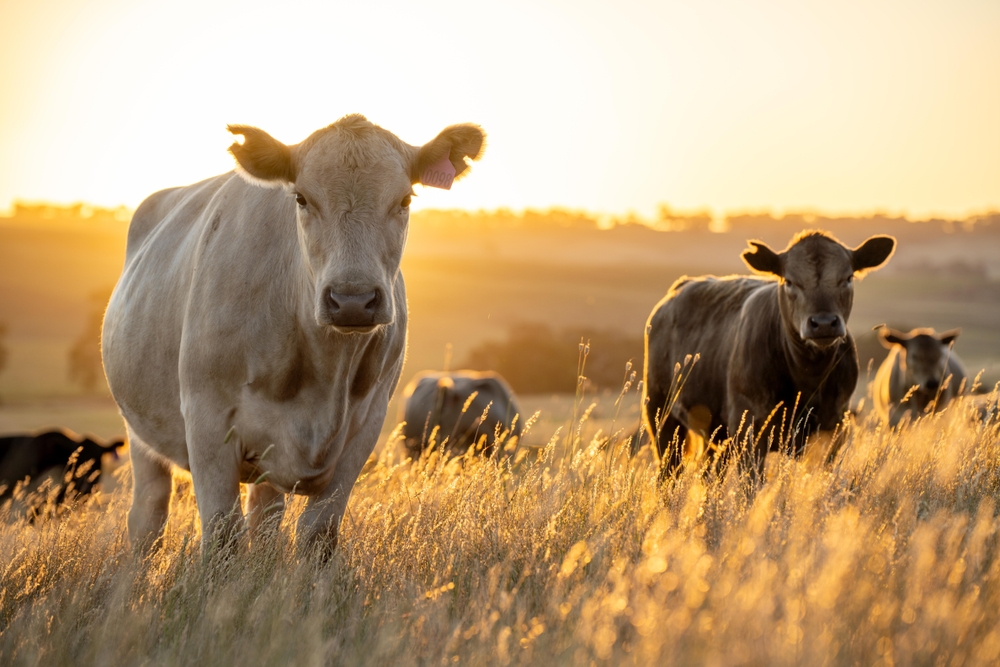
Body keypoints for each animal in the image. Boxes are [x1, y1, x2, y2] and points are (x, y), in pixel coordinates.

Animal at [102, 115, 485, 552]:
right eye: (301, 198)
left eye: (405, 199)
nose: (352, 300)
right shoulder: (206, 419)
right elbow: (222, 535)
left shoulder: (365, 427)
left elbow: (318, 533)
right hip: (140, 433)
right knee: (149, 515)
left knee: (265, 518)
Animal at [642, 230, 895, 479]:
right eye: (790, 282)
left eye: (848, 278)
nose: (823, 323)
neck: (809, 377)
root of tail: (681, 286)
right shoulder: (749, 430)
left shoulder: (833, 430)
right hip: (661, 414)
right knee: (668, 471)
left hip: (714, 431)